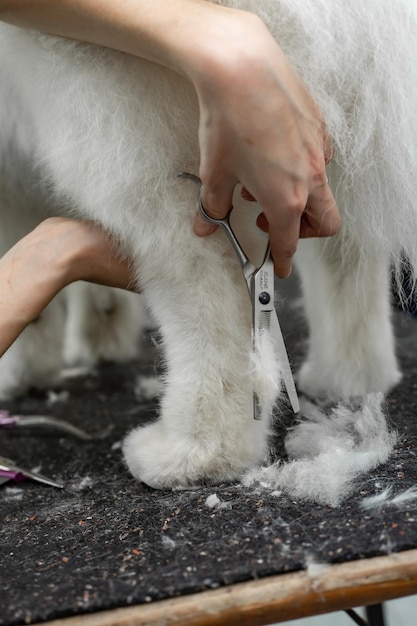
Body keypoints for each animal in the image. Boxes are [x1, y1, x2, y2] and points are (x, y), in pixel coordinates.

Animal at [0, 0, 416, 502]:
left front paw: (25, 370)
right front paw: (99, 335)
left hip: (108, 106)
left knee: (211, 298)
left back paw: (194, 454)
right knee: (348, 259)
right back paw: (351, 378)